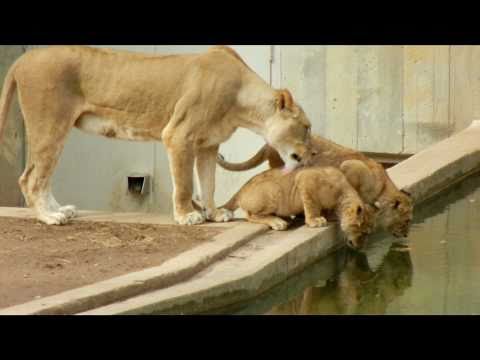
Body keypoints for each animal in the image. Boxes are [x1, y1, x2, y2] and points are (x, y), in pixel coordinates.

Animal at [0, 45, 312, 225]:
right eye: (307, 128)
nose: (313, 155)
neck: (242, 103)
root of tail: (24, 57)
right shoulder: (178, 135)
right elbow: (185, 183)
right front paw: (188, 216)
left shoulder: (209, 145)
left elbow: (208, 183)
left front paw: (214, 213)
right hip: (50, 124)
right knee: (30, 177)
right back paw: (49, 217)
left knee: (42, 176)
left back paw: (61, 210)